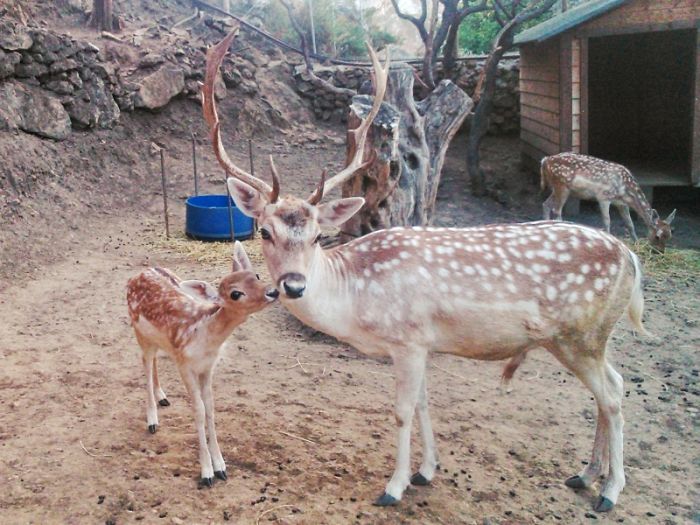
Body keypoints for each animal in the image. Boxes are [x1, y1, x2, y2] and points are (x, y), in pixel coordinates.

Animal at [126, 241, 278, 487]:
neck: (205, 338)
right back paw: (152, 420)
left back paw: (162, 397)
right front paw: (207, 472)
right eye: (235, 293)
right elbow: (198, 409)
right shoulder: (185, 365)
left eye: (255, 275)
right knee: (146, 363)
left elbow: (210, 407)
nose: (272, 291)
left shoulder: (208, 367)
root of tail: (139, 273)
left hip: (157, 340)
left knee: (155, 358)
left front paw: (221, 467)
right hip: (138, 330)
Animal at [203, 26, 649, 513]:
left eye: (320, 235)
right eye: (263, 231)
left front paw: (393, 486)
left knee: (613, 393)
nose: (294, 285)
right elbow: (423, 405)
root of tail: (631, 258)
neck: (355, 304)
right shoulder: (425, 345)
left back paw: (609, 490)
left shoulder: (409, 339)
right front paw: (426, 470)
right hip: (583, 338)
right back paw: (585, 474)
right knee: (610, 388)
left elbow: (401, 411)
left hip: (582, 334)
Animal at [541, 152, 676, 253]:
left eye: (670, 235)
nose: (660, 252)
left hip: (558, 189)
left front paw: (636, 243)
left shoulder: (622, 203)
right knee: (557, 210)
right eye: (657, 236)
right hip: (561, 186)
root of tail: (545, 161)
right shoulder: (604, 196)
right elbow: (607, 221)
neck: (625, 190)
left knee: (546, 204)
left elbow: (630, 224)